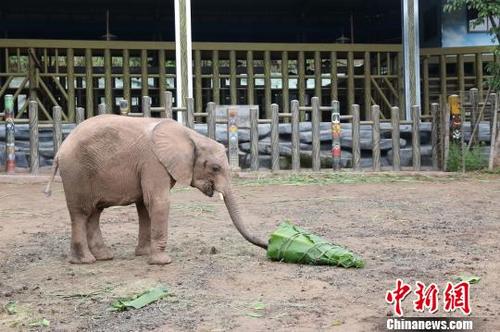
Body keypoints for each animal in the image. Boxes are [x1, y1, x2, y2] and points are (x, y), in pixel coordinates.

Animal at [45, 115, 268, 266]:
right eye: (214, 168)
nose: (267, 246)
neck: (190, 136)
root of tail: (60, 149)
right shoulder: (153, 163)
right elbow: (158, 202)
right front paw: (162, 262)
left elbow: (144, 206)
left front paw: (143, 254)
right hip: (76, 173)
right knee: (81, 213)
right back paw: (85, 261)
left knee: (94, 213)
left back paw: (104, 257)